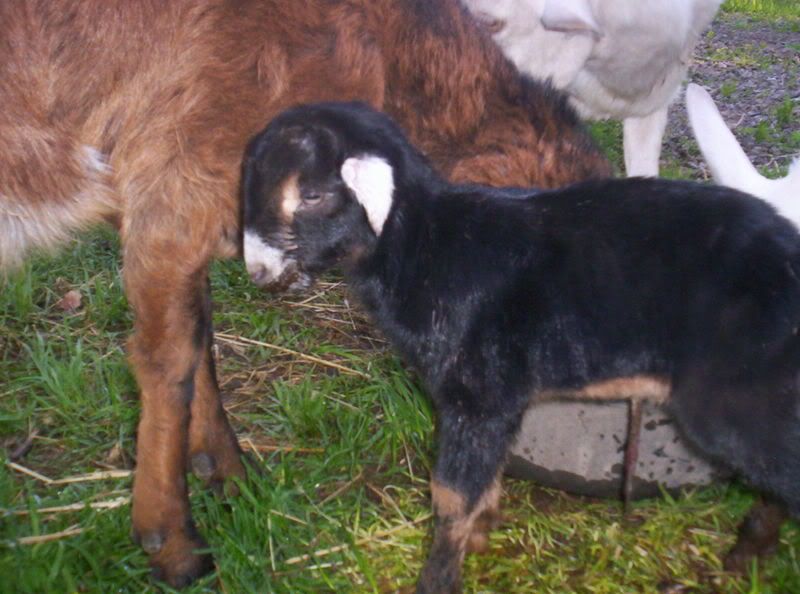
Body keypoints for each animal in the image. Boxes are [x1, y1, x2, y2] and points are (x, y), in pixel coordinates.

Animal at [243, 101, 800, 593]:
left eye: (312, 194)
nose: (259, 273)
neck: (427, 247)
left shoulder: (478, 394)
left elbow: (450, 494)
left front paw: (438, 579)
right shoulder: (500, 401)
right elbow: (482, 481)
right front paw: (483, 532)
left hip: (740, 398)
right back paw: (746, 555)